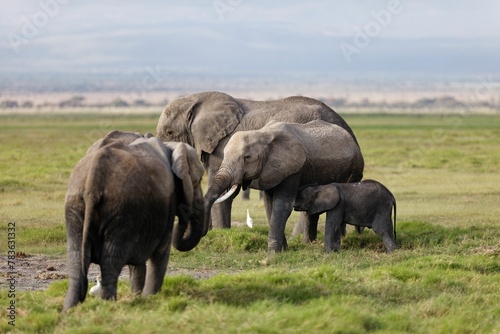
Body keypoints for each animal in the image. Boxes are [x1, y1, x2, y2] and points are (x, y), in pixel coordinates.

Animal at [62, 131, 205, 314]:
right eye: (198, 181)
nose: (185, 215)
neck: (172, 146)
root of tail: (93, 180)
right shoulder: (166, 205)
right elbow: (160, 251)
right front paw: (149, 298)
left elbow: (137, 264)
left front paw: (137, 298)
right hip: (121, 211)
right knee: (110, 264)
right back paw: (107, 308)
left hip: (75, 206)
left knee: (76, 263)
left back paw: (68, 312)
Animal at [203, 118, 364, 252]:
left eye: (247, 157)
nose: (204, 233)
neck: (263, 134)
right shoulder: (271, 170)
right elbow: (270, 205)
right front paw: (283, 249)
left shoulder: (293, 168)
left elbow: (283, 204)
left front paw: (273, 253)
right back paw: (309, 243)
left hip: (354, 169)